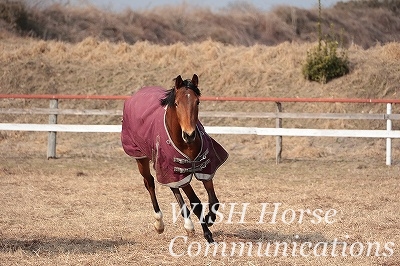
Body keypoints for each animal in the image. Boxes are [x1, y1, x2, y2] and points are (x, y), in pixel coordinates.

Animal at [121, 73, 228, 243]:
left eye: (197, 102)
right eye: (177, 103)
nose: (189, 134)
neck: (186, 144)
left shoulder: (204, 168)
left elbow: (214, 200)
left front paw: (209, 220)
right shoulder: (181, 170)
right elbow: (196, 203)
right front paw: (208, 234)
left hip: (169, 168)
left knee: (172, 186)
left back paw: (189, 226)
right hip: (141, 158)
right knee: (149, 183)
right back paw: (159, 223)